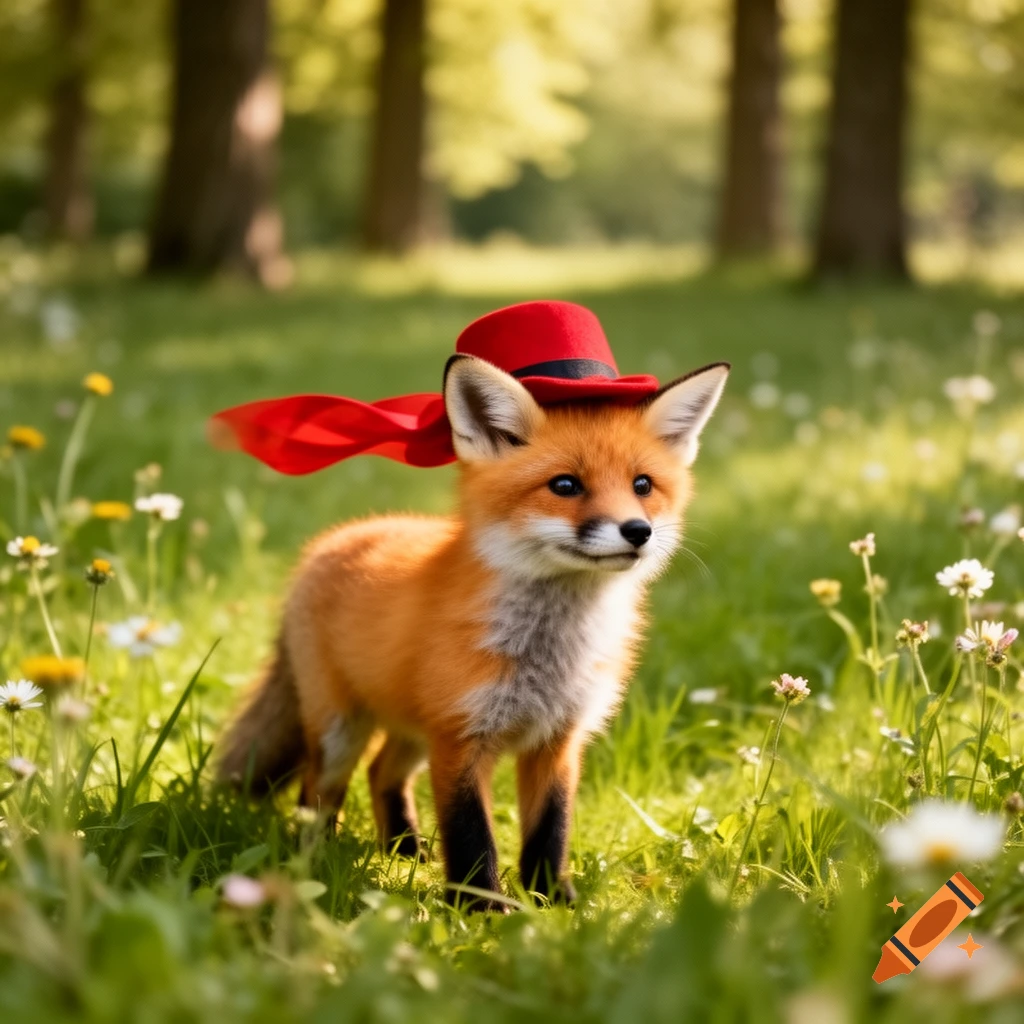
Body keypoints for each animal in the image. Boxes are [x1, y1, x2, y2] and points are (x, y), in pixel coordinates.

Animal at [217, 353, 729, 910]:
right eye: (565, 486)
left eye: (642, 485)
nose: (638, 532)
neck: (547, 653)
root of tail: (330, 541)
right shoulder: (461, 738)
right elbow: (470, 835)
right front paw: (481, 909)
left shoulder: (557, 740)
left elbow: (550, 829)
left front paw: (553, 901)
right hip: (341, 729)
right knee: (317, 790)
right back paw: (316, 859)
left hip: (414, 730)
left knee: (382, 773)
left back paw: (404, 850)